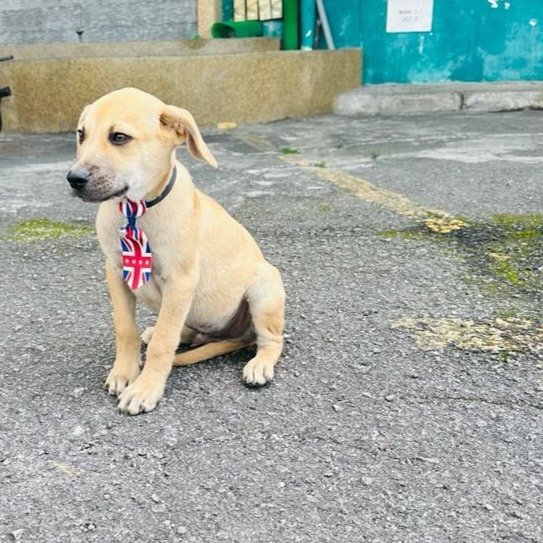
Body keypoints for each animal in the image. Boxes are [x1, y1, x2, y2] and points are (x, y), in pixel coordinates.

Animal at [66, 88, 286, 416]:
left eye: (119, 137)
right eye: (81, 134)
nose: (74, 179)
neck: (137, 211)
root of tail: (234, 336)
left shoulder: (180, 281)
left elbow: (163, 344)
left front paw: (144, 389)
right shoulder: (116, 272)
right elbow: (125, 328)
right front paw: (124, 372)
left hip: (264, 288)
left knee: (271, 339)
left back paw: (260, 364)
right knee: (186, 330)